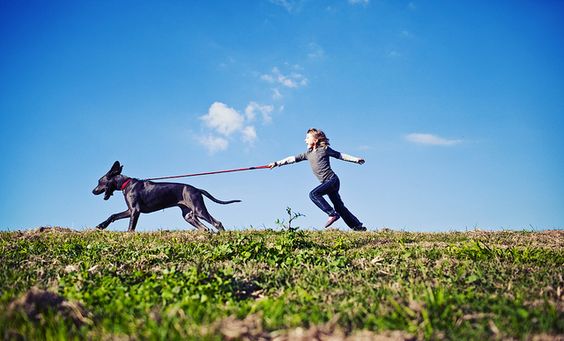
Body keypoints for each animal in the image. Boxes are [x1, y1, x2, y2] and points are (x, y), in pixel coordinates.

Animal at [92, 160, 240, 231]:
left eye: (99, 181)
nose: (93, 191)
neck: (126, 184)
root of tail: (197, 189)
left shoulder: (135, 211)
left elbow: (130, 228)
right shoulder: (130, 210)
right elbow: (113, 216)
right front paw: (101, 226)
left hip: (198, 209)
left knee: (217, 223)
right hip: (188, 216)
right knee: (205, 228)